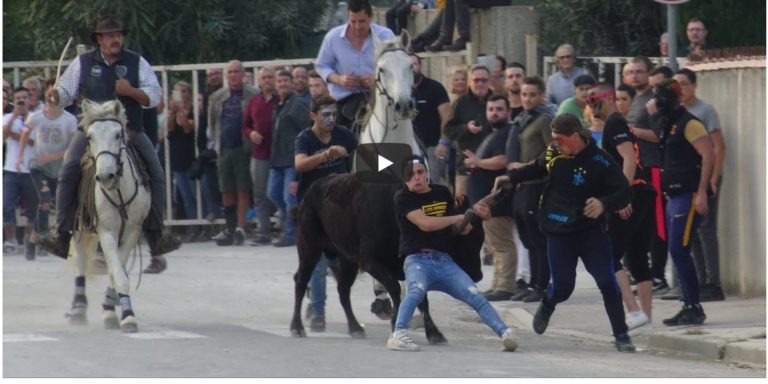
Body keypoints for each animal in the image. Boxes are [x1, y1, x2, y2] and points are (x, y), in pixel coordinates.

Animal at [67, 100, 151, 332]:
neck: (118, 192)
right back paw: (78, 309)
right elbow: (117, 272)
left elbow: (118, 272)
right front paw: (127, 315)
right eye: (90, 137)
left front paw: (113, 311)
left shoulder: (131, 232)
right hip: (79, 227)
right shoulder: (106, 232)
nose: (105, 176)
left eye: (117, 134)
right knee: (80, 260)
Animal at [292, 173, 484, 342]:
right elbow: (394, 287)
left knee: (343, 290)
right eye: (463, 240)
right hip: (309, 247)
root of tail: (311, 190)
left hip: (346, 259)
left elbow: (421, 299)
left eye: (480, 240)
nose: (478, 275)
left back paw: (355, 328)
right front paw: (395, 323)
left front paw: (434, 334)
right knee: (301, 280)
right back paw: (297, 327)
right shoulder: (369, 262)